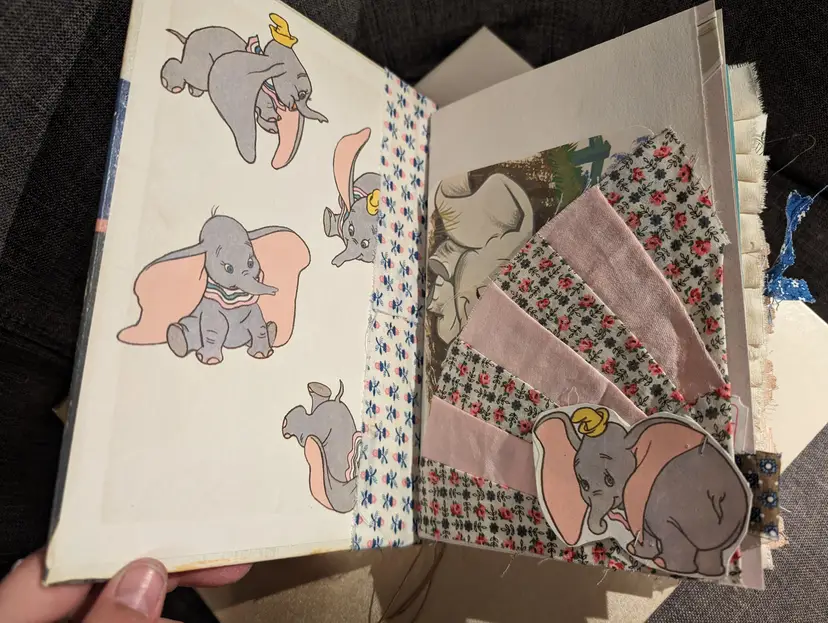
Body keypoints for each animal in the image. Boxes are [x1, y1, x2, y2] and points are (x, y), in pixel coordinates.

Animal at [117, 213, 310, 364]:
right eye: (228, 268)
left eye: (251, 262)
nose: (274, 291)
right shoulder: (211, 308)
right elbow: (215, 329)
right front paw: (209, 360)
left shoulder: (253, 309)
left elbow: (258, 326)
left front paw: (262, 354)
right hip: (191, 323)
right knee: (189, 330)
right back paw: (177, 338)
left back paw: (272, 329)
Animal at [160, 13, 328, 168]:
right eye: (302, 94)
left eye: (308, 98)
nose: (324, 121)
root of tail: (188, 36)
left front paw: (272, 127)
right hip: (200, 59)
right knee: (192, 74)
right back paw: (172, 85)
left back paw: (194, 92)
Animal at [533, 406, 750, 577]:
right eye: (584, 485)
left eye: (610, 480)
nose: (603, 524)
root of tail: (719, 494)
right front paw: (635, 550)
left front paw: (640, 552)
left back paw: (669, 565)